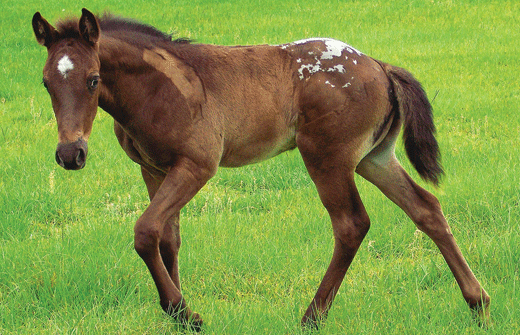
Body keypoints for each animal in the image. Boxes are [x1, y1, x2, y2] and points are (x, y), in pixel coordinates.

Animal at [33, 7, 492, 330]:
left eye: (93, 79)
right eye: (45, 82)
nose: (70, 153)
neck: (157, 87)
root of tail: (380, 65)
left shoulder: (197, 166)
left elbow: (145, 231)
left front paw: (184, 313)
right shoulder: (153, 169)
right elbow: (167, 239)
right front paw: (179, 314)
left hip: (327, 157)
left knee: (351, 224)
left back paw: (312, 316)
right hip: (373, 157)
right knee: (426, 208)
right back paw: (479, 303)